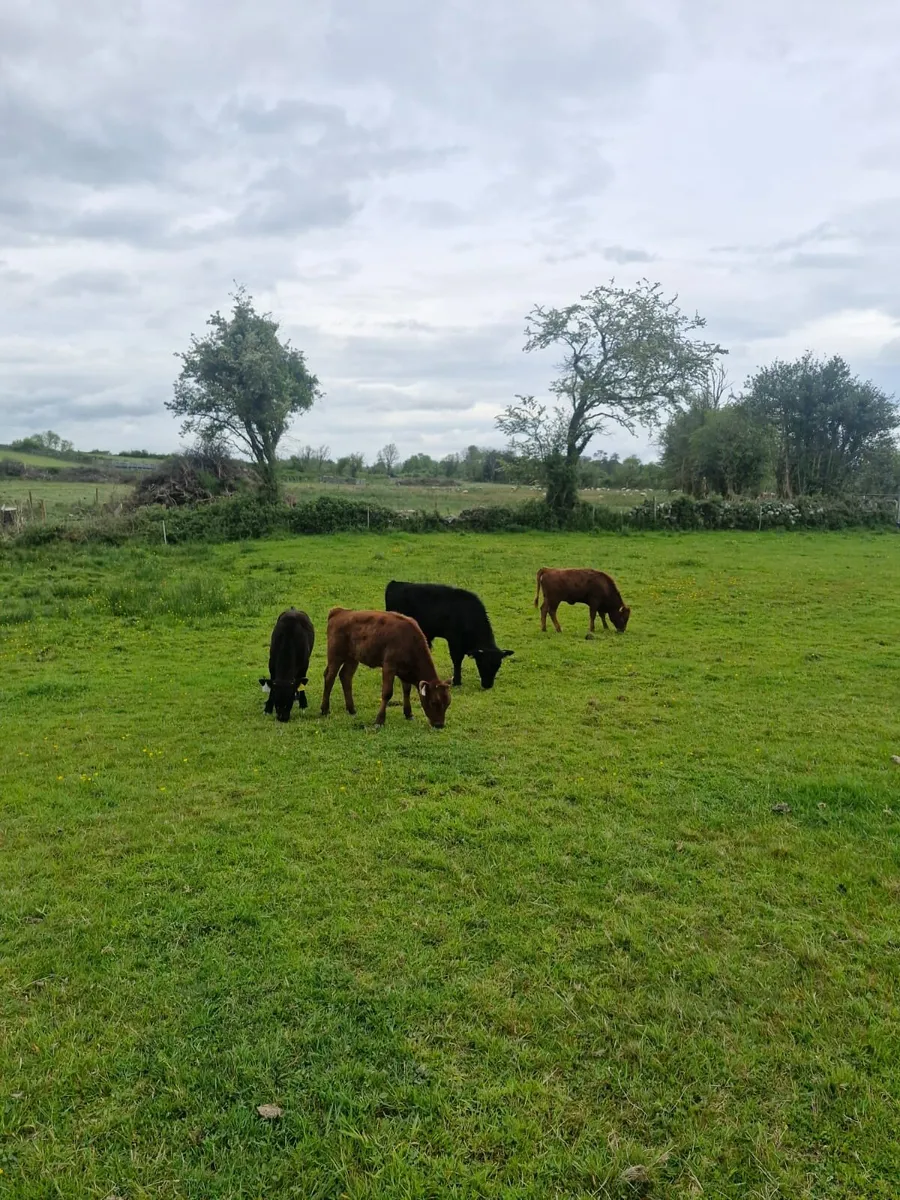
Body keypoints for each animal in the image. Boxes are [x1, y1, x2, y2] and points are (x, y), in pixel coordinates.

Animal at [320, 607, 452, 728]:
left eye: (447, 703)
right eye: (434, 702)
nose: (440, 725)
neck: (409, 640)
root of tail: (340, 611)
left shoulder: (404, 671)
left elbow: (407, 690)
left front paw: (408, 714)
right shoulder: (389, 666)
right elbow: (387, 693)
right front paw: (379, 721)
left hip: (352, 658)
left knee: (345, 676)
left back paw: (351, 709)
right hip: (335, 656)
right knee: (330, 677)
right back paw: (325, 709)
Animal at [384, 580, 514, 689]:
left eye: (498, 665)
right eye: (482, 663)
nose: (488, 685)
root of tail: (395, 583)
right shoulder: (454, 640)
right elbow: (457, 659)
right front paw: (456, 681)